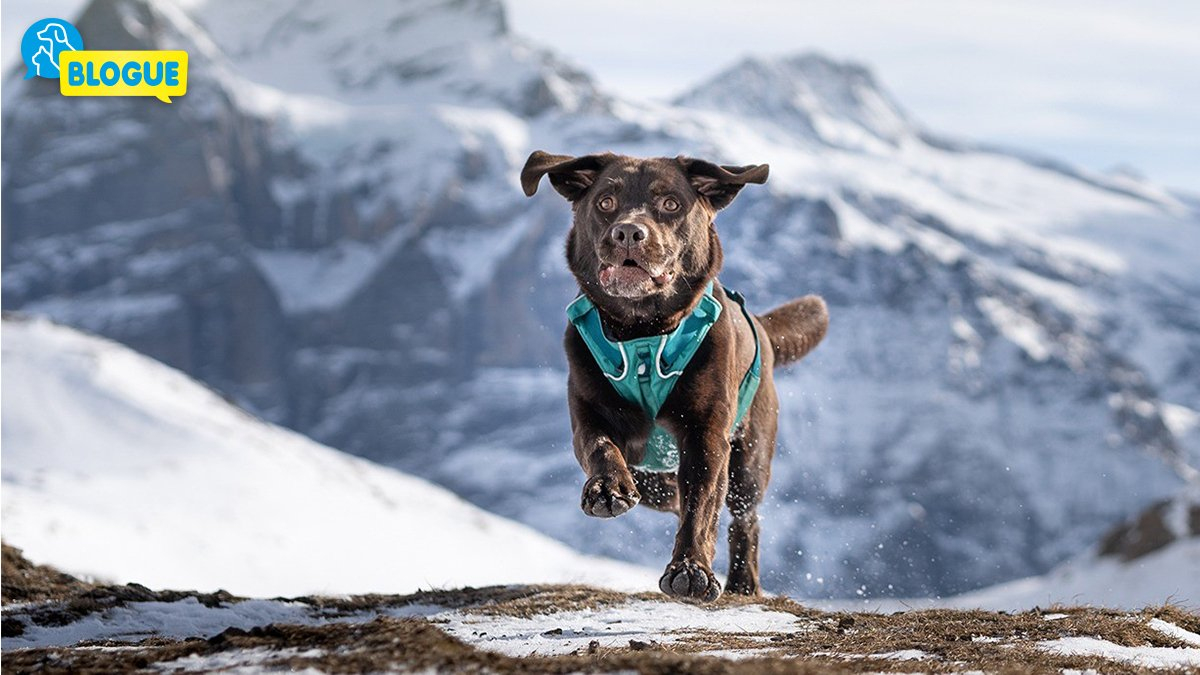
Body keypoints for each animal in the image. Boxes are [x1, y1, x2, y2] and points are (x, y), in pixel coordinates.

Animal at [520, 149, 830, 595]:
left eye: (670, 204)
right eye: (605, 202)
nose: (628, 233)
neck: (642, 332)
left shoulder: (706, 432)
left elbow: (701, 502)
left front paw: (690, 569)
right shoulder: (588, 411)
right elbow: (599, 445)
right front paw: (608, 489)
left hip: (750, 460)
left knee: (743, 517)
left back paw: (742, 583)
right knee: (664, 491)